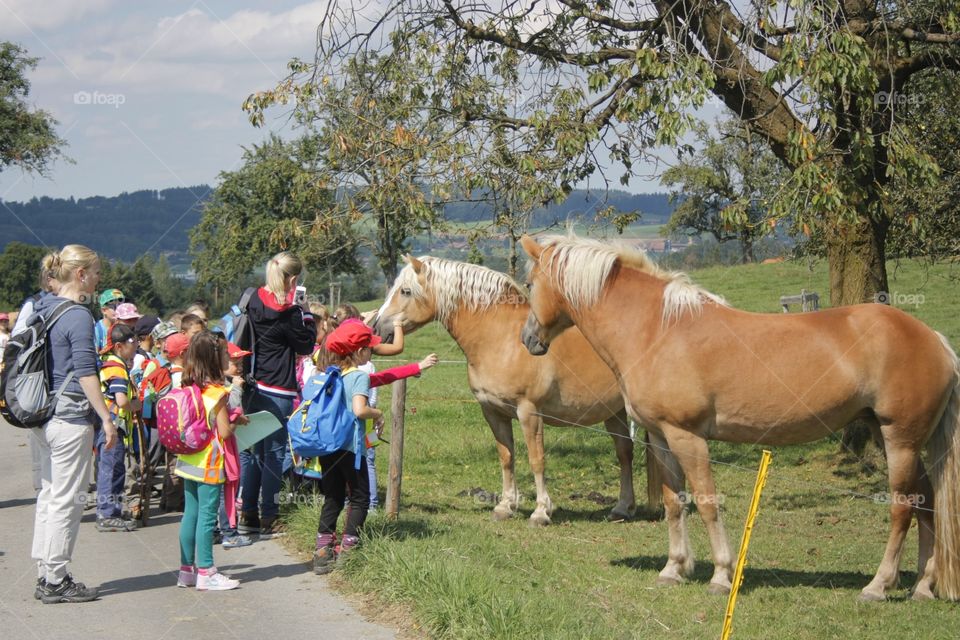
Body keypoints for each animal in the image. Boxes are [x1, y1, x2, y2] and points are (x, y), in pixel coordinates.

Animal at [370, 255, 660, 524]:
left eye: (405, 291)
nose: (376, 328)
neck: (501, 338)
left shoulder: (529, 411)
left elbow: (536, 459)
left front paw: (541, 512)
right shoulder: (493, 412)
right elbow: (506, 457)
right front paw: (505, 506)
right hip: (614, 412)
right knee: (624, 453)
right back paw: (622, 509)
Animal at [520, 232, 960, 604]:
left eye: (528, 284)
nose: (528, 339)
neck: (655, 329)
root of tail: (935, 340)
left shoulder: (687, 436)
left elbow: (706, 502)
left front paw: (720, 575)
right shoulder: (662, 437)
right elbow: (674, 502)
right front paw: (673, 569)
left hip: (900, 440)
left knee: (903, 507)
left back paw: (878, 586)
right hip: (891, 437)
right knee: (927, 502)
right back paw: (922, 586)